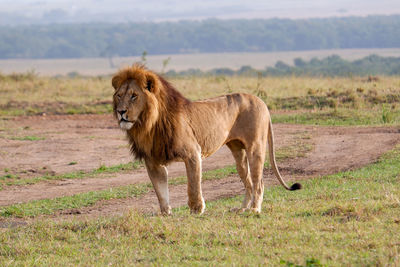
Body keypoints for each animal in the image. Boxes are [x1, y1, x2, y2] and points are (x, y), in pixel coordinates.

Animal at [111, 64, 300, 216]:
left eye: (134, 96)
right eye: (119, 96)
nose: (121, 112)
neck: (148, 124)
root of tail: (261, 101)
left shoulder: (192, 153)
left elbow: (193, 186)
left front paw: (197, 209)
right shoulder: (153, 162)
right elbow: (161, 191)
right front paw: (165, 214)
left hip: (255, 148)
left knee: (258, 182)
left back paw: (254, 209)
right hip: (238, 152)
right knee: (248, 183)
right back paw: (242, 209)